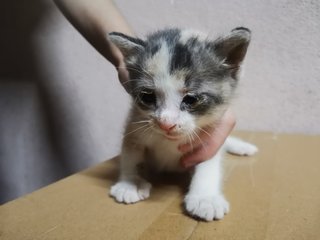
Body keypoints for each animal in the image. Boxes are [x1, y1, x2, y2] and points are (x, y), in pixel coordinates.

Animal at [107, 27, 258, 221]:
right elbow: (130, 153)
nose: (166, 123)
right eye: (147, 97)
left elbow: (208, 164)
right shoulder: (135, 123)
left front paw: (205, 198)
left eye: (191, 99)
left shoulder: (211, 140)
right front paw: (130, 182)